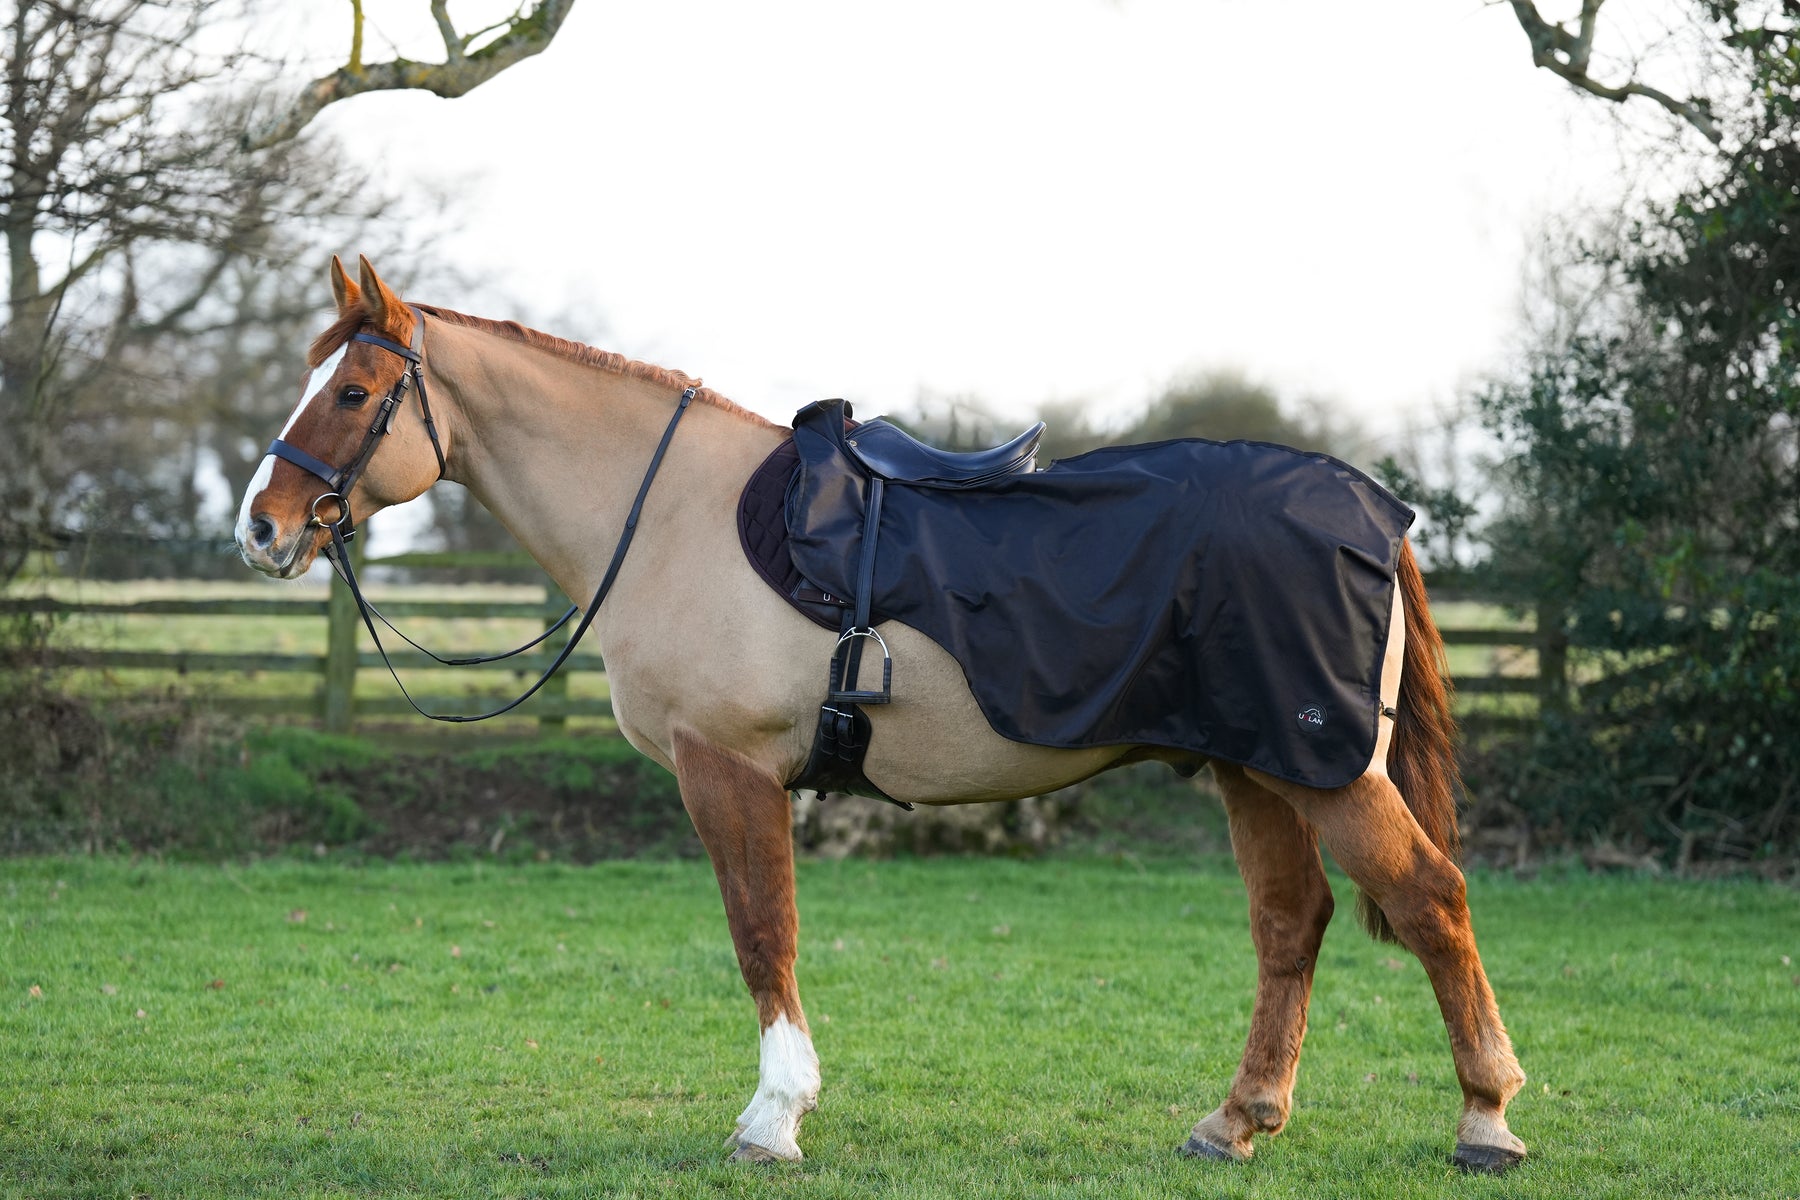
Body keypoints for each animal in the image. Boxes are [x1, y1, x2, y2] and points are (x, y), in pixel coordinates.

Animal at [234, 255, 1528, 1174]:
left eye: (352, 391)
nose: (262, 524)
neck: (671, 515)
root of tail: (1372, 510)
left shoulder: (729, 772)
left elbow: (763, 935)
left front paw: (773, 1120)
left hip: (1323, 770)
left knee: (1432, 900)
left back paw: (1486, 1120)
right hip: (1254, 768)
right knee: (1290, 924)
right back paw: (1238, 1120)